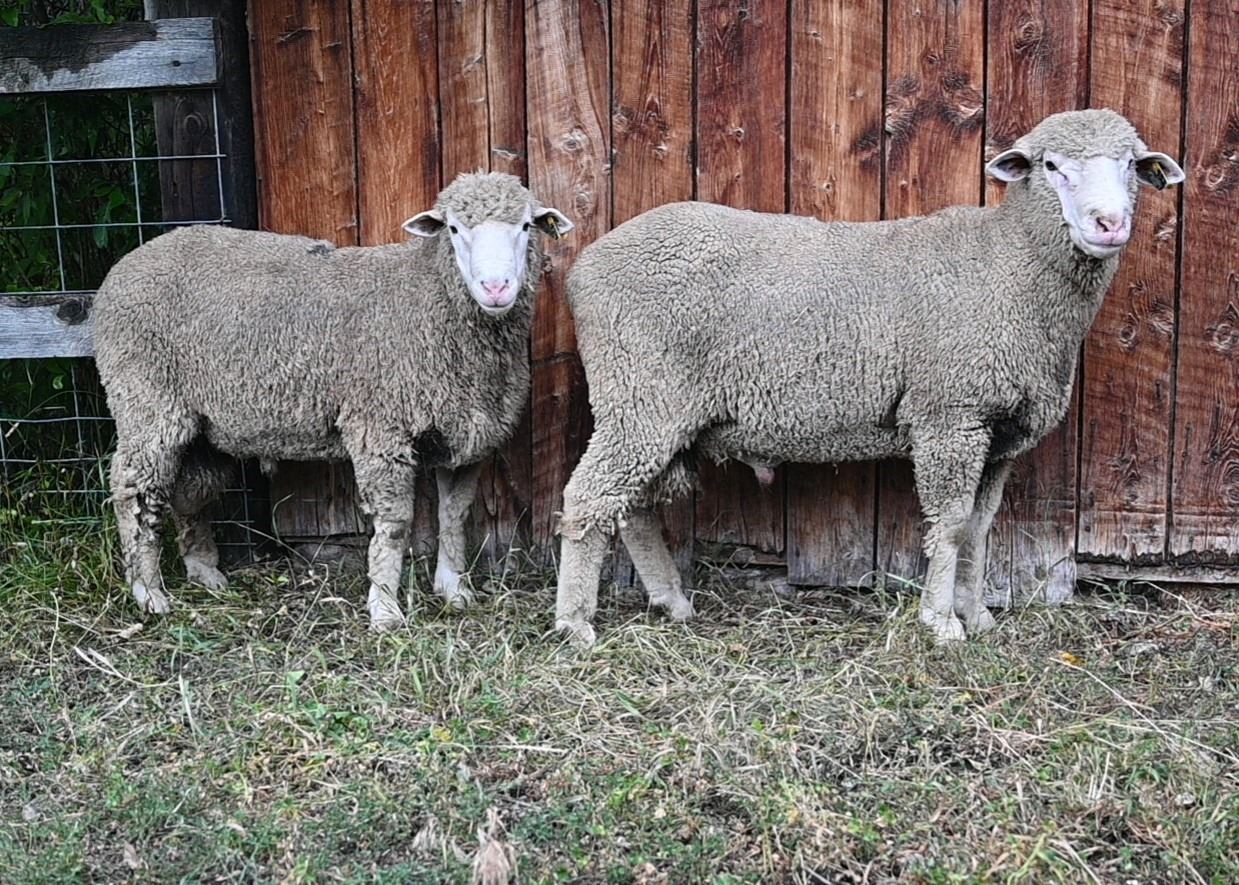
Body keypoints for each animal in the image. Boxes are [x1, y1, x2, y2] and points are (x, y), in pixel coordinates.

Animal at [93, 172, 573, 629]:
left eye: (526, 226)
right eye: (453, 229)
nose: (496, 288)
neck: (430, 296)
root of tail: (130, 262)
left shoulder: (464, 433)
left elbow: (455, 516)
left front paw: (454, 591)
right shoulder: (379, 429)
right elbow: (395, 524)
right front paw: (385, 609)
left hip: (202, 425)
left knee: (192, 491)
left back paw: (203, 572)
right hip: (145, 399)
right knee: (133, 490)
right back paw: (148, 592)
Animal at [554, 109, 1184, 647]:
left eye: (1132, 165)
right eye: (1052, 167)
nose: (1110, 224)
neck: (1010, 263)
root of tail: (586, 265)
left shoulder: (1000, 430)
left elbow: (980, 528)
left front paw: (977, 614)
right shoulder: (950, 415)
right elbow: (951, 525)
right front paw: (941, 622)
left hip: (651, 406)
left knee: (633, 508)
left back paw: (671, 601)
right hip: (640, 393)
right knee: (587, 499)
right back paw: (575, 623)